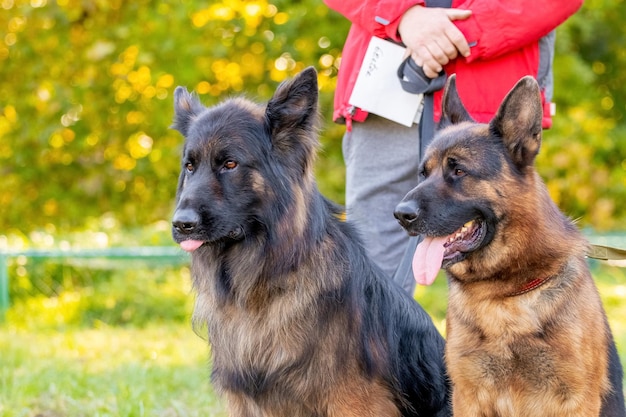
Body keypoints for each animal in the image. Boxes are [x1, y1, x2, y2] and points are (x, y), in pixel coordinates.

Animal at [394, 75, 624, 416]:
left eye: (458, 170)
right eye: (423, 173)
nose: (400, 214)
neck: (501, 295)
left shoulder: (575, 401)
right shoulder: (467, 397)